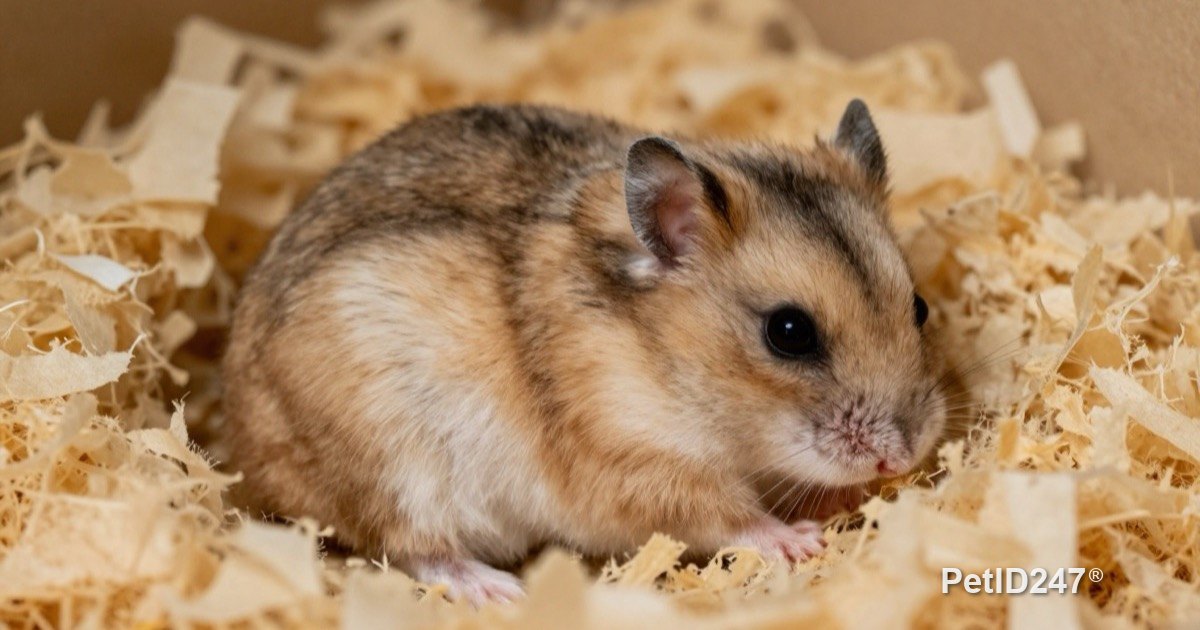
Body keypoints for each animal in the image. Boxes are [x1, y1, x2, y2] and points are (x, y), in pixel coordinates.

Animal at [221, 100, 947, 604]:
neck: (667, 364)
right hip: (395, 466)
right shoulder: (638, 465)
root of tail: (244, 450)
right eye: (789, 332)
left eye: (919, 306)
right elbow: (728, 516)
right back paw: (500, 591)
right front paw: (803, 540)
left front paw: (841, 506)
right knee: (415, 549)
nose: (902, 457)